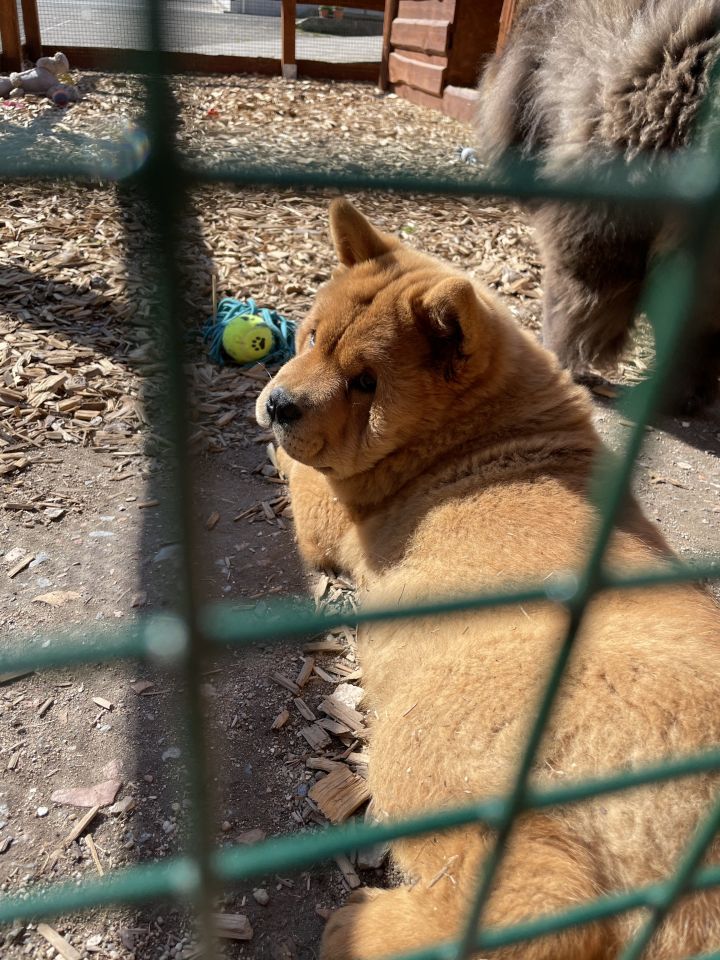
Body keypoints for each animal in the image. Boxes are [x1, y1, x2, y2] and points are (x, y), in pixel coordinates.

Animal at [256, 199, 716, 956]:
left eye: (365, 382)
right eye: (312, 335)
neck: (491, 430)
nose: (280, 403)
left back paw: (359, 925)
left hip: (436, 742)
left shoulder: (328, 513)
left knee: (534, 913)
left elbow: (295, 471)